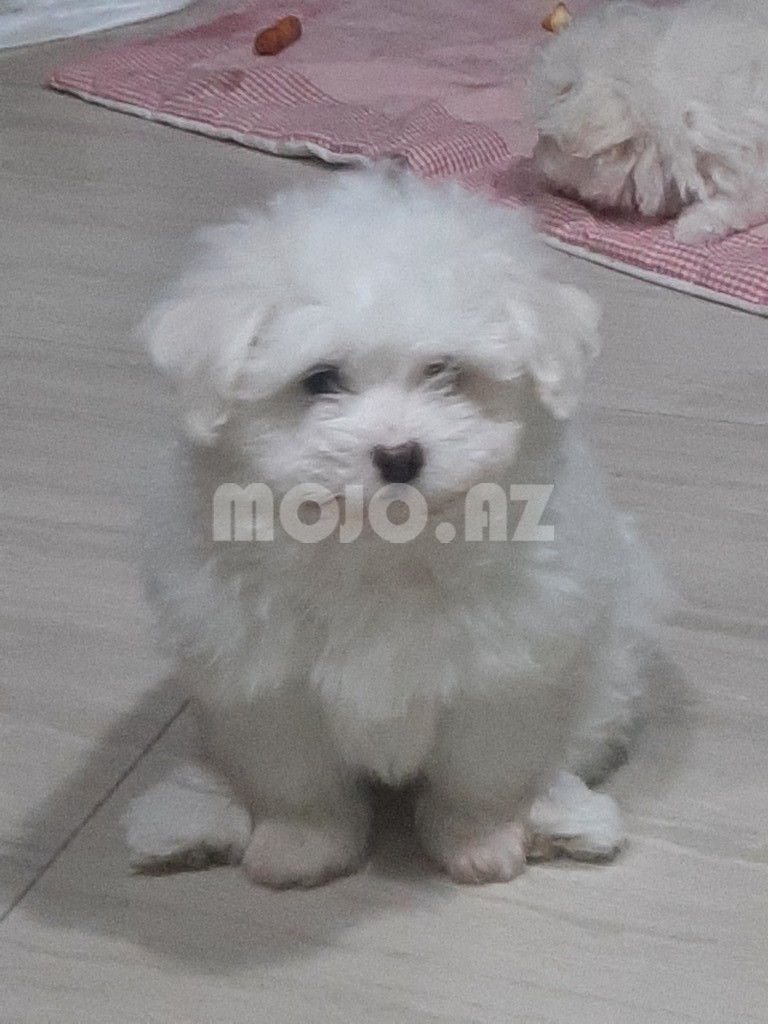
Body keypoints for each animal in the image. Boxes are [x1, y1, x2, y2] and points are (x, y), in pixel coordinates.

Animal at [125, 170, 663, 887]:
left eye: (446, 373)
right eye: (321, 380)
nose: (401, 456)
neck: (381, 549)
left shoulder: (504, 676)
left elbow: (482, 771)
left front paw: (479, 840)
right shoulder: (266, 688)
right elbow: (295, 775)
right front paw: (303, 845)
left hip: (611, 664)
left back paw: (565, 818)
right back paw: (189, 821)